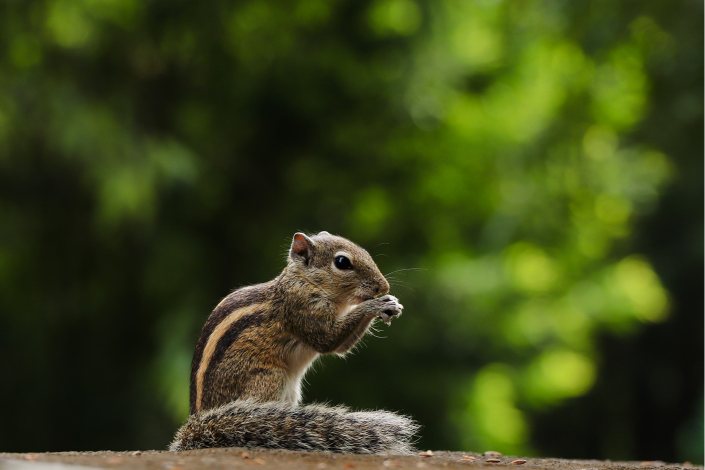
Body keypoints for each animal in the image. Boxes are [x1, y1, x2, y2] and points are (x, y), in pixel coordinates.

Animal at [168, 231, 418, 456]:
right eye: (342, 262)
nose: (382, 287)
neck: (305, 281)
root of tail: (199, 422)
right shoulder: (302, 309)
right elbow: (328, 340)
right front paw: (377, 305)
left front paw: (391, 303)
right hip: (268, 379)